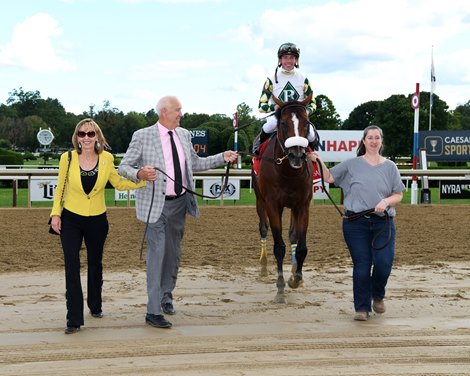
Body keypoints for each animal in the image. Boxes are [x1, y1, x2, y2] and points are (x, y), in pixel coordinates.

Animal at [252, 94, 314, 306]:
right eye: (284, 123)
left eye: (307, 123)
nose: (297, 155)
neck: (288, 172)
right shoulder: (273, 205)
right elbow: (279, 247)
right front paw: (280, 290)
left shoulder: (302, 205)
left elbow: (301, 246)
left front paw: (296, 278)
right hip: (259, 200)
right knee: (263, 228)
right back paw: (263, 267)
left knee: (293, 235)